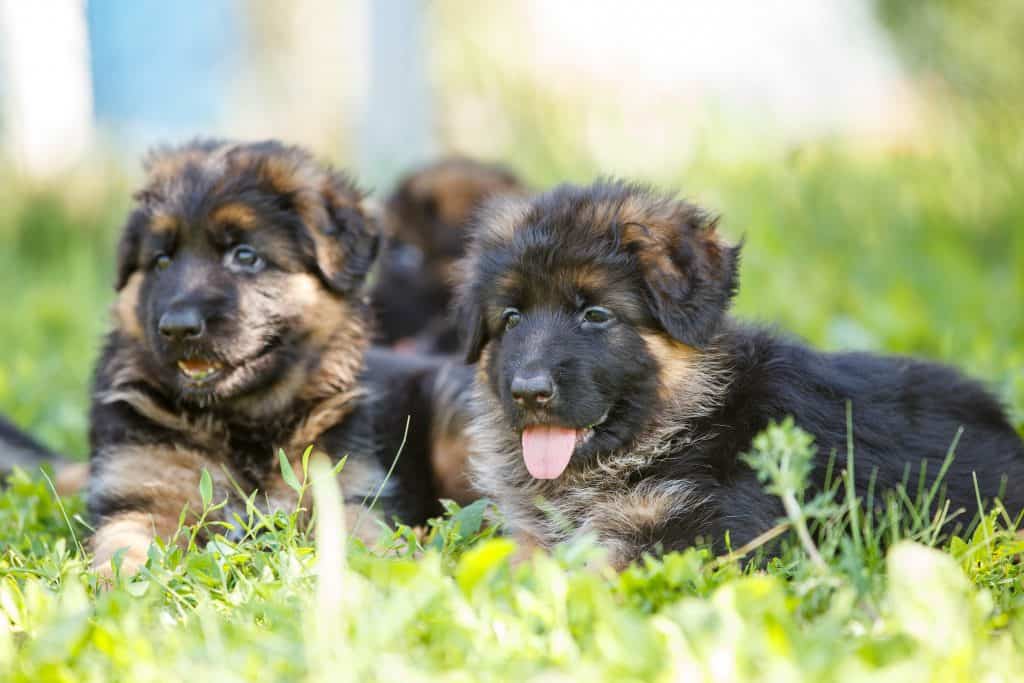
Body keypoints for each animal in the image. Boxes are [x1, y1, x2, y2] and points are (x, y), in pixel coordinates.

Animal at [456, 179, 1024, 569]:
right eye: (511, 319)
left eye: (596, 314)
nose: (529, 393)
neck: (686, 419)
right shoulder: (535, 533)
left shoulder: (709, 532)